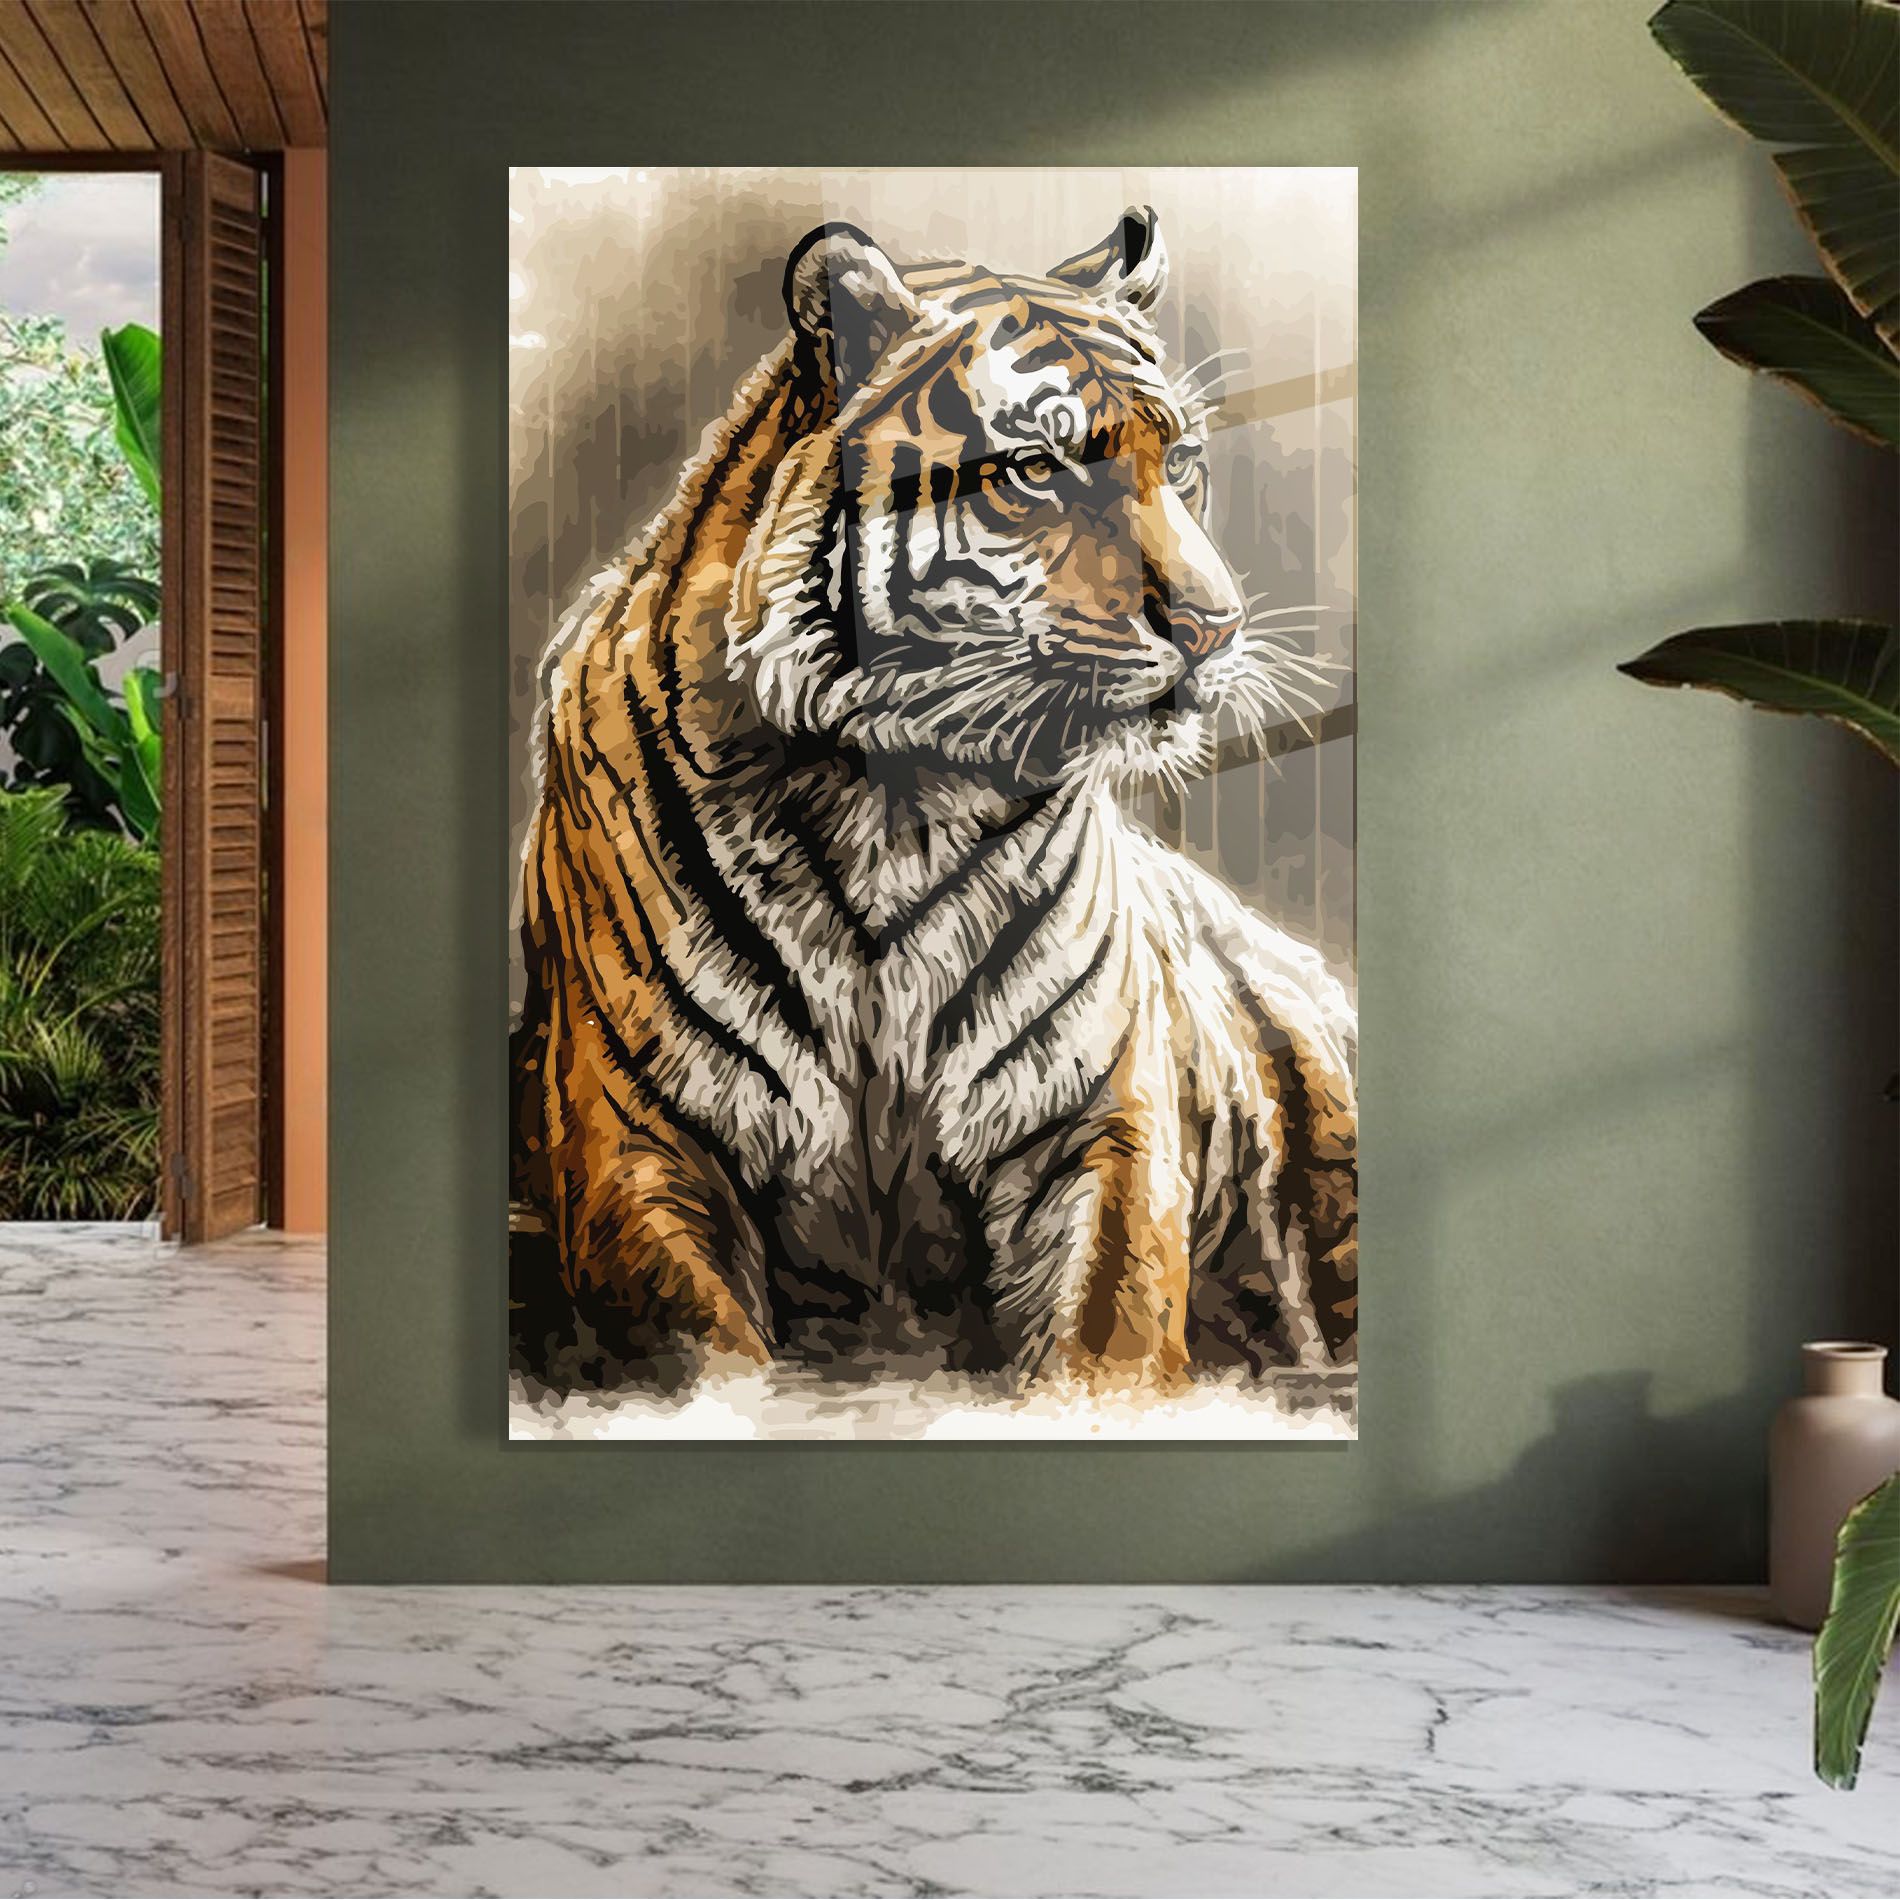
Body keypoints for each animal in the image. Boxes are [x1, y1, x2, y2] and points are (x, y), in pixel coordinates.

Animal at [511, 206, 1357, 1398]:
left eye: (1182, 460)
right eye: (1038, 469)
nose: (1213, 626)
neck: (890, 804)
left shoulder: (1101, 1122)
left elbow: (1103, 1338)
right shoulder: (636, 1136)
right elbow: (710, 1360)